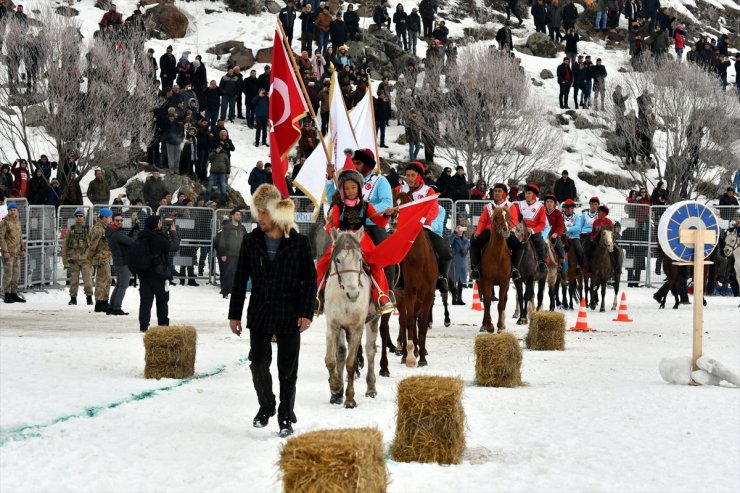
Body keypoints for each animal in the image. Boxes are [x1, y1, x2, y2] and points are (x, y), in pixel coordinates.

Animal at [326, 228, 382, 408]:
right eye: (338, 259)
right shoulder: (333, 325)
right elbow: (331, 359)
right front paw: (336, 389)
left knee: (370, 350)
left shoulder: (357, 326)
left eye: (359, 259)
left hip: (373, 320)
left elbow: (351, 362)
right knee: (342, 352)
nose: (354, 294)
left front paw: (350, 399)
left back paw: (371, 388)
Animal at [390, 190, 436, 368]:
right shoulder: (408, 293)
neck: (419, 259)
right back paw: (405, 353)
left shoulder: (428, 294)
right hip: (401, 296)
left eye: (408, 203)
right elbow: (409, 323)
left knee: (415, 320)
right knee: (404, 321)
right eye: (392, 204)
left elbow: (422, 326)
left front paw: (422, 357)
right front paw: (409, 357)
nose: (395, 222)